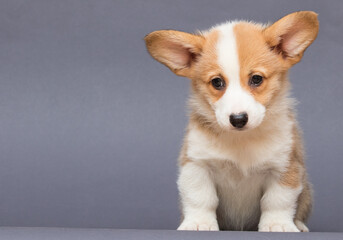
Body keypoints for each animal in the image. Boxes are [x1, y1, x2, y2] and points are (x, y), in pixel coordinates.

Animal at [144, 11, 320, 232]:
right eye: (217, 82)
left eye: (256, 79)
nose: (238, 119)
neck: (240, 140)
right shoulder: (196, 164)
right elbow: (201, 198)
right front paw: (199, 223)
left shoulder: (285, 167)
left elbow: (277, 200)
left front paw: (277, 225)